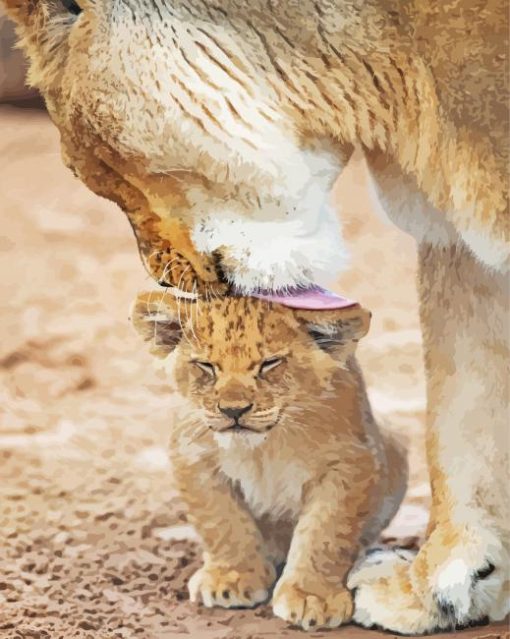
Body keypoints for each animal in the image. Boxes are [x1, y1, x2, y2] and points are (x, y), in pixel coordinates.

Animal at [2, 0, 506, 636]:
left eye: (99, 167)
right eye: (205, 367)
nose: (163, 276)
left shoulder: (348, 462)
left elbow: (331, 520)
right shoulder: (458, 239)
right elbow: (461, 420)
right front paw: (441, 588)